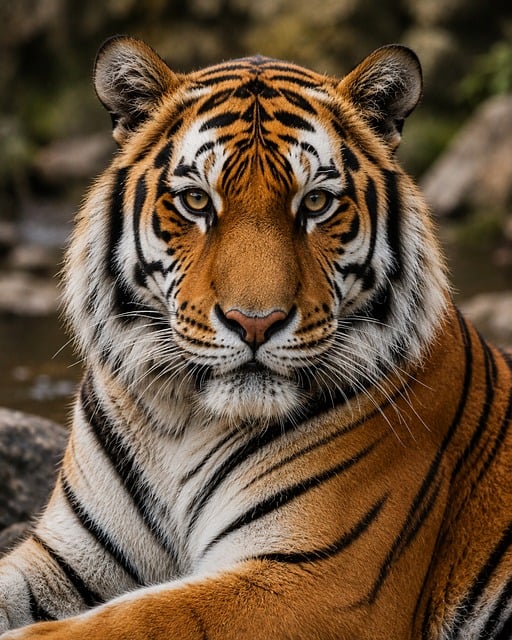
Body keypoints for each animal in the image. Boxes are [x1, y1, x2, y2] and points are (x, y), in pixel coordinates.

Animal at [0, 34, 511, 640]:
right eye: (197, 201)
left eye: (315, 202)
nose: (255, 323)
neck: (182, 422)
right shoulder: (66, 558)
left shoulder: (318, 582)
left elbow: (134, 618)